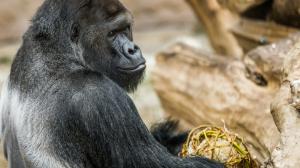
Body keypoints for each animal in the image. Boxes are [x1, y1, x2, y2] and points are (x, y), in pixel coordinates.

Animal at [0, 0, 223, 168]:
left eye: (126, 28)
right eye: (112, 33)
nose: (133, 49)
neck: (58, 49)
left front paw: (172, 136)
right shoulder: (100, 94)